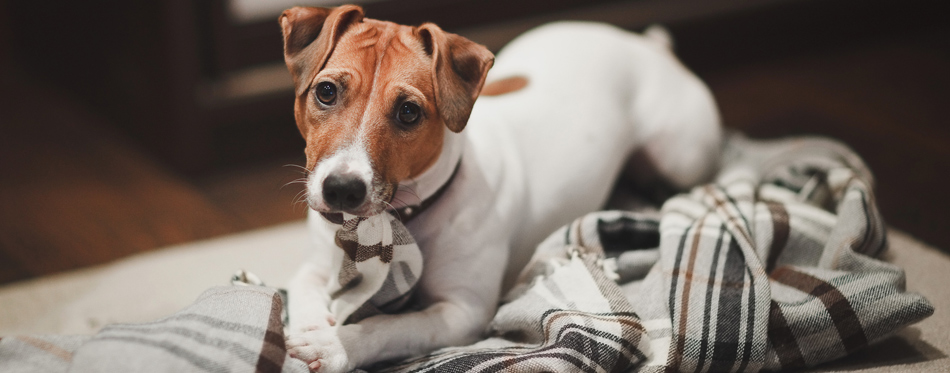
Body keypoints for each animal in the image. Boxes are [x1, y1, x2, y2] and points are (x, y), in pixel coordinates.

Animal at [278, 5, 724, 370]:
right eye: (326, 91)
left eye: (408, 112)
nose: (341, 189)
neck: (400, 219)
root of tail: (649, 45)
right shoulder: (316, 263)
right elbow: (302, 291)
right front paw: (311, 329)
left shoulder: (461, 313)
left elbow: (389, 327)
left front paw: (334, 345)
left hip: (680, 155)